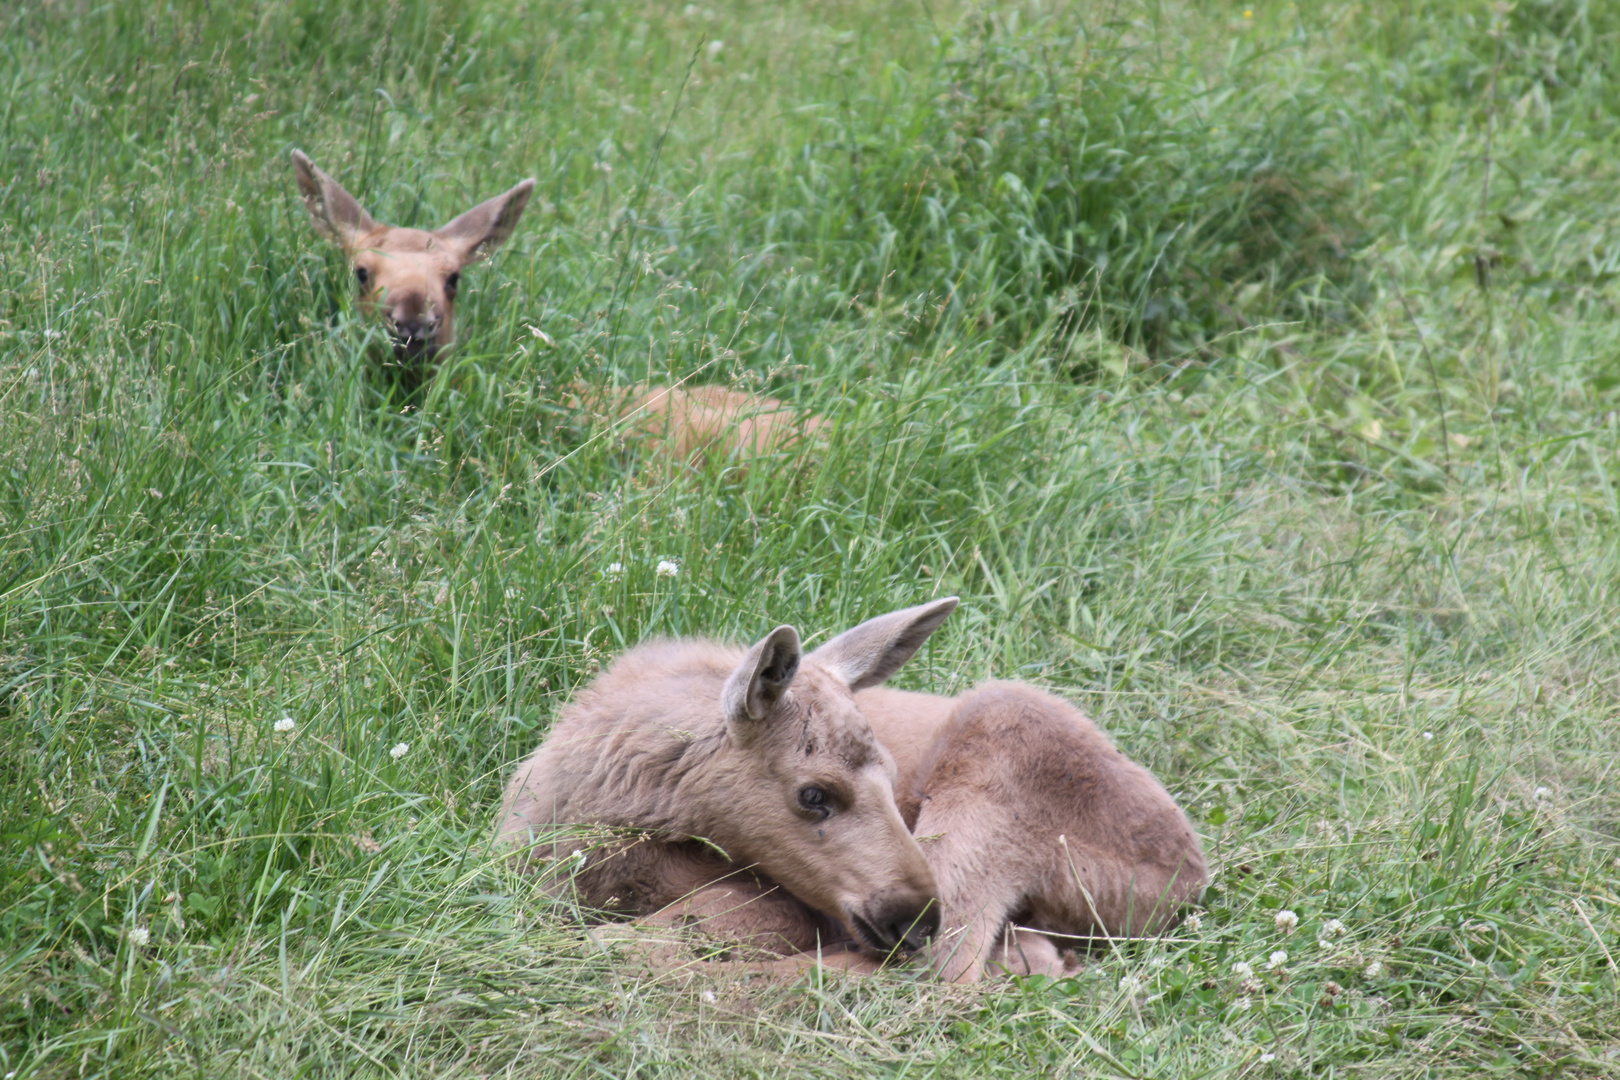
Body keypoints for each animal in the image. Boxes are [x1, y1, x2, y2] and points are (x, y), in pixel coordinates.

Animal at [498, 599, 1211, 977]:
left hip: (995, 759)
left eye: (896, 784)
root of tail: (1185, 878)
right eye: (815, 794)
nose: (912, 916)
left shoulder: (772, 903)